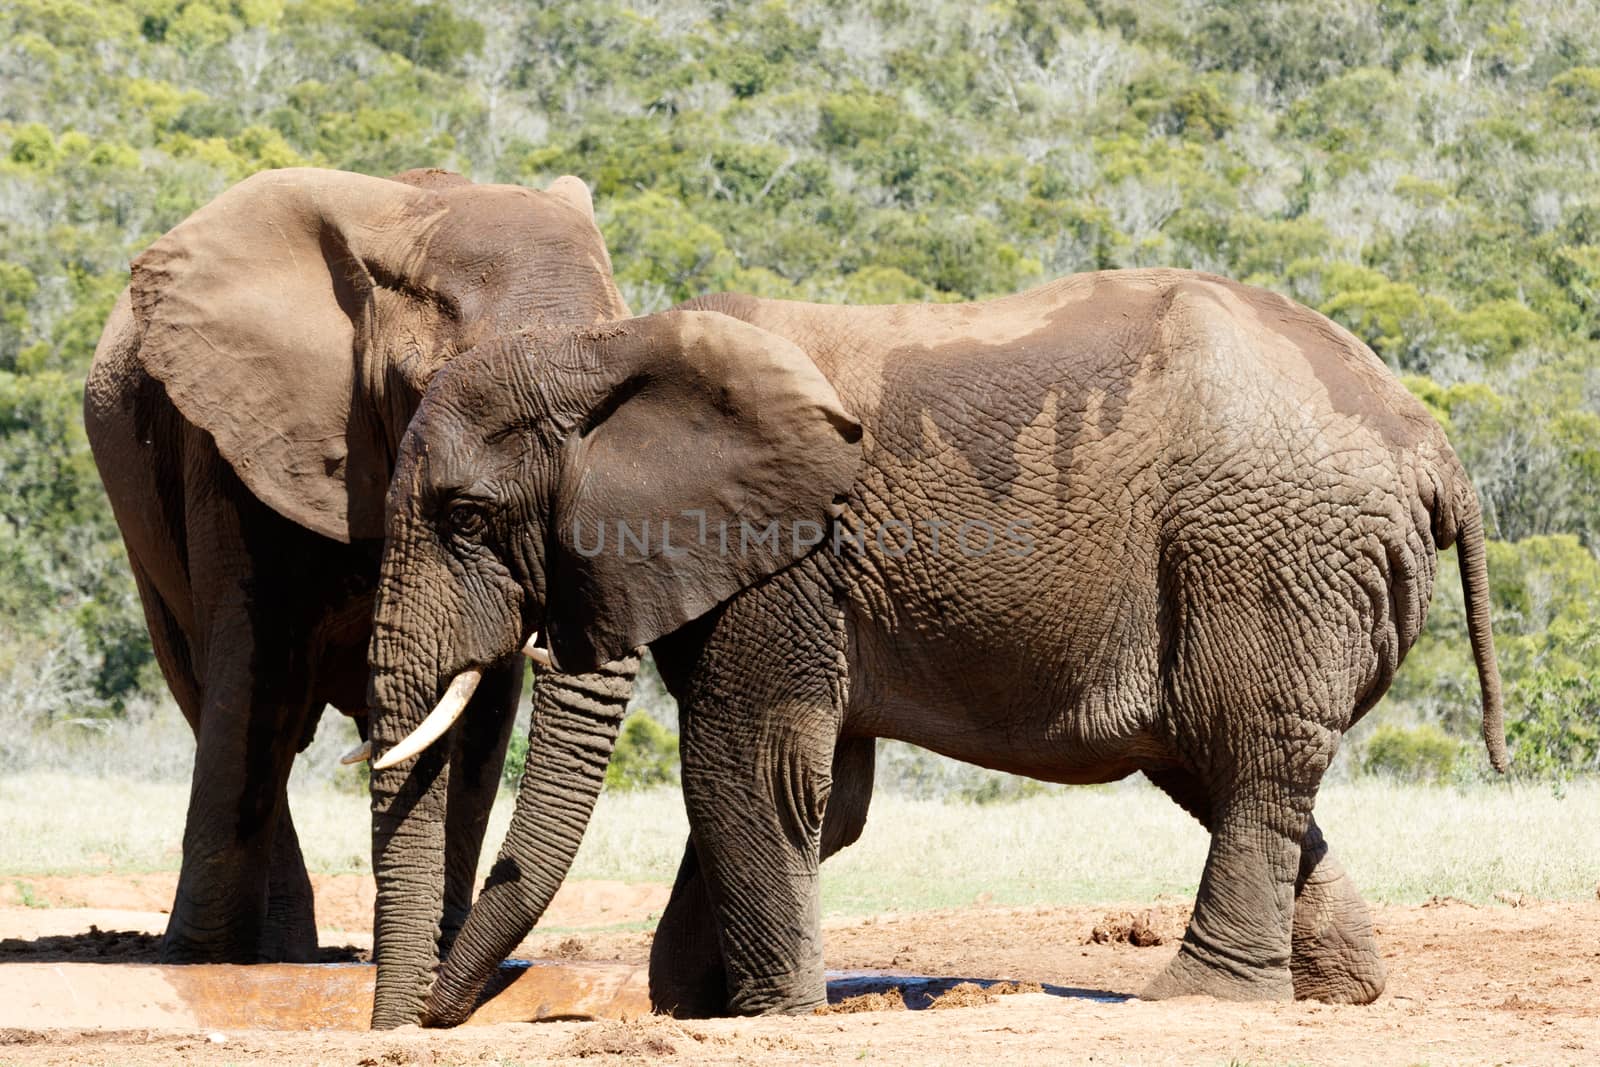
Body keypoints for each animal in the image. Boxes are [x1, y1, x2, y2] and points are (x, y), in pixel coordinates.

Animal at [81, 167, 640, 966]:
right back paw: (272, 956)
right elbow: (256, 674)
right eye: (444, 394)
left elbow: (478, 705)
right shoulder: (237, 443)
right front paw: (201, 960)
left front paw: (436, 956)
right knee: (220, 694)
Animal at [360, 267, 1497, 1023]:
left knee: (1247, 755)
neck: (614, 345)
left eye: (465, 517)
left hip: (1266, 550)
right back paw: (1342, 990)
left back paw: (1198, 999)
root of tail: (1434, 445)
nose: (422, 1021)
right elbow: (825, 795)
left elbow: (750, 764)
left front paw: (772, 1015)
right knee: (1226, 765)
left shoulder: (791, 560)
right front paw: (698, 1007)